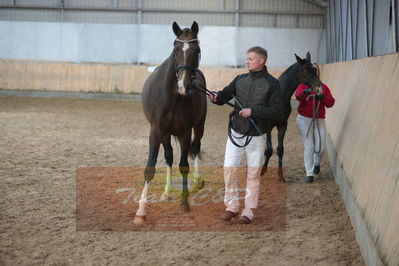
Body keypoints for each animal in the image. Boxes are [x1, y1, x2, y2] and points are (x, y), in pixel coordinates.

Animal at [135, 21, 208, 224]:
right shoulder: (156, 132)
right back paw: (166, 192)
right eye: (175, 50)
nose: (184, 86)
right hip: (166, 134)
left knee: (196, 148)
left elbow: (184, 165)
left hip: (199, 126)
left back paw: (197, 181)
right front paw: (141, 211)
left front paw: (184, 203)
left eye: (196, 50)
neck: (172, 97)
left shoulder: (185, 132)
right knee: (169, 156)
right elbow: (150, 168)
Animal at [262, 52, 322, 183]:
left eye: (315, 70)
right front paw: (262, 172)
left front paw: (281, 176)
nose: (319, 89)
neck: (279, 96)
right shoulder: (268, 125)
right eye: (305, 71)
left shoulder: (283, 124)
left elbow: (280, 149)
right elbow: (269, 150)